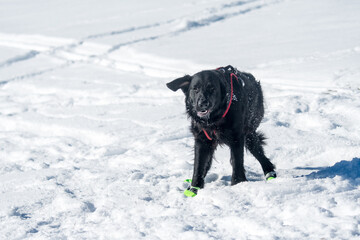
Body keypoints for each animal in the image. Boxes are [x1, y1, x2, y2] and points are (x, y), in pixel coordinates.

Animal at [166, 65, 276, 197]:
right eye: (195, 88)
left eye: (212, 88)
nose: (202, 103)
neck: (214, 119)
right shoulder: (202, 140)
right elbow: (198, 166)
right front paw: (194, 189)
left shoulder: (236, 138)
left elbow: (237, 162)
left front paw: (238, 184)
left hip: (249, 132)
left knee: (258, 151)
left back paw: (270, 173)